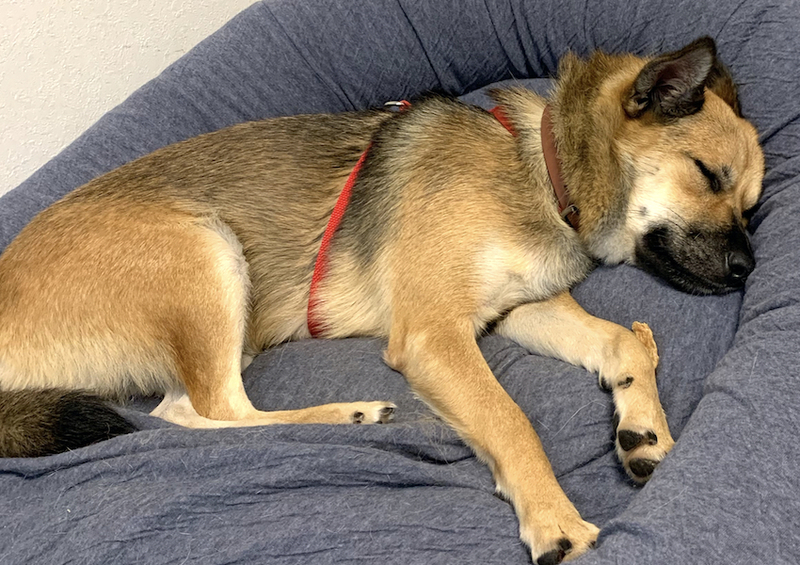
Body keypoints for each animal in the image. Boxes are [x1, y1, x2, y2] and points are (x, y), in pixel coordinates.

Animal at [0, 36, 763, 564]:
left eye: (751, 203)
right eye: (709, 174)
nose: (748, 267)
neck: (542, 171)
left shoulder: (517, 307)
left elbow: (622, 339)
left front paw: (644, 428)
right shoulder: (435, 333)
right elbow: (511, 419)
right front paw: (553, 518)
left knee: (179, 415)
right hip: (205, 249)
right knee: (218, 408)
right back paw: (349, 413)